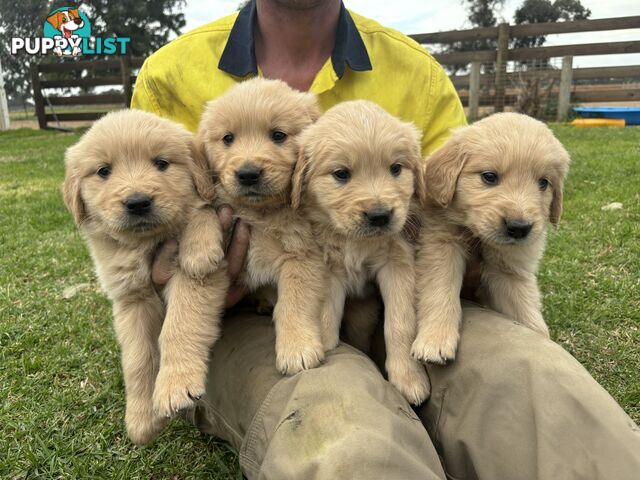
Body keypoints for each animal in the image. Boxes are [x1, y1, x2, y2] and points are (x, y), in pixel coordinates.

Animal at [63, 109, 229, 442]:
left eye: (161, 163)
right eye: (103, 171)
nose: (137, 202)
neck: (145, 244)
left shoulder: (194, 278)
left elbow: (179, 325)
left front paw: (176, 385)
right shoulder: (131, 298)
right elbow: (137, 359)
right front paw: (141, 419)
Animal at [195, 78, 324, 376]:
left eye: (278, 135)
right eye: (228, 138)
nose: (248, 174)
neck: (260, 213)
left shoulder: (303, 255)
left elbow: (294, 302)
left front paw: (297, 348)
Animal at [292, 100, 432, 404]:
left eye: (396, 168)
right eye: (341, 173)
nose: (379, 216)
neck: (355, 242)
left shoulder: (397, 263)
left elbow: (400, 323)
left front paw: (409, 378)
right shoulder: (328, 268)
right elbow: (325, 317)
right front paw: (324, 348)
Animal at [412, 110, 572, 362]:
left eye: (543, 183)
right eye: (489, 176)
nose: (519, 227)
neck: (478, 236)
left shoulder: (510, 270)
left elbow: (525, 308)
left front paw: (543, 341)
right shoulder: (441, 248)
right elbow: (440, 292)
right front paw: (435, 340)